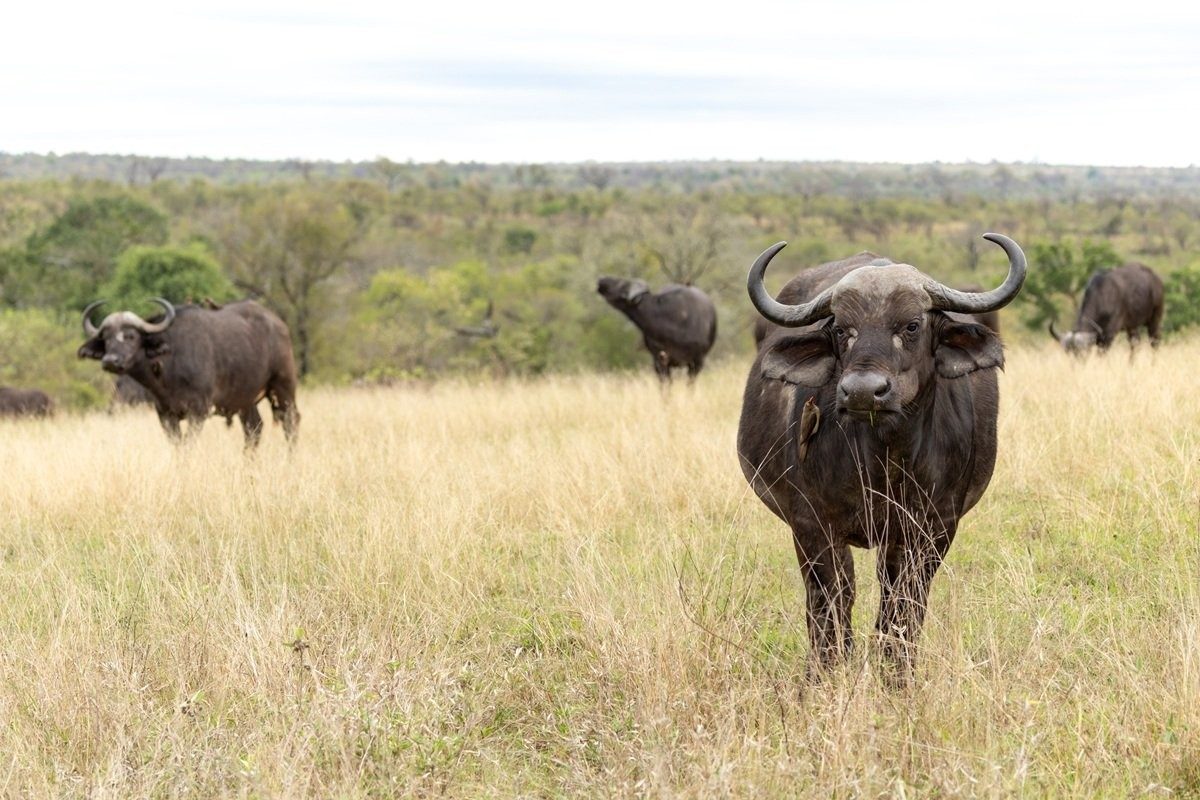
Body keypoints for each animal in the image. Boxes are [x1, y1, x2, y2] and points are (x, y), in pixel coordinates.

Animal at [79, 298, 300, 447]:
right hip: (245, 399)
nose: (110, 360)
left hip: (283, 387)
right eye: (106, 338)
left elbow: (188, 444)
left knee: (291, 422)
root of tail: (279, 324)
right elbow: (178, 445)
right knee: (254, 428)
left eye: (131, 336)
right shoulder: (165, 414)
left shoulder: (198, 411)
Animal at [737, 234, 1026, 682]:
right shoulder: (810, 524)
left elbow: (904, 601)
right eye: (841, 329)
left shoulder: (934, 527)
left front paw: (898, 674)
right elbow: (833, 597)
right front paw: (825, 672)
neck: (884, 459)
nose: (862, 391)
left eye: (911, 325)